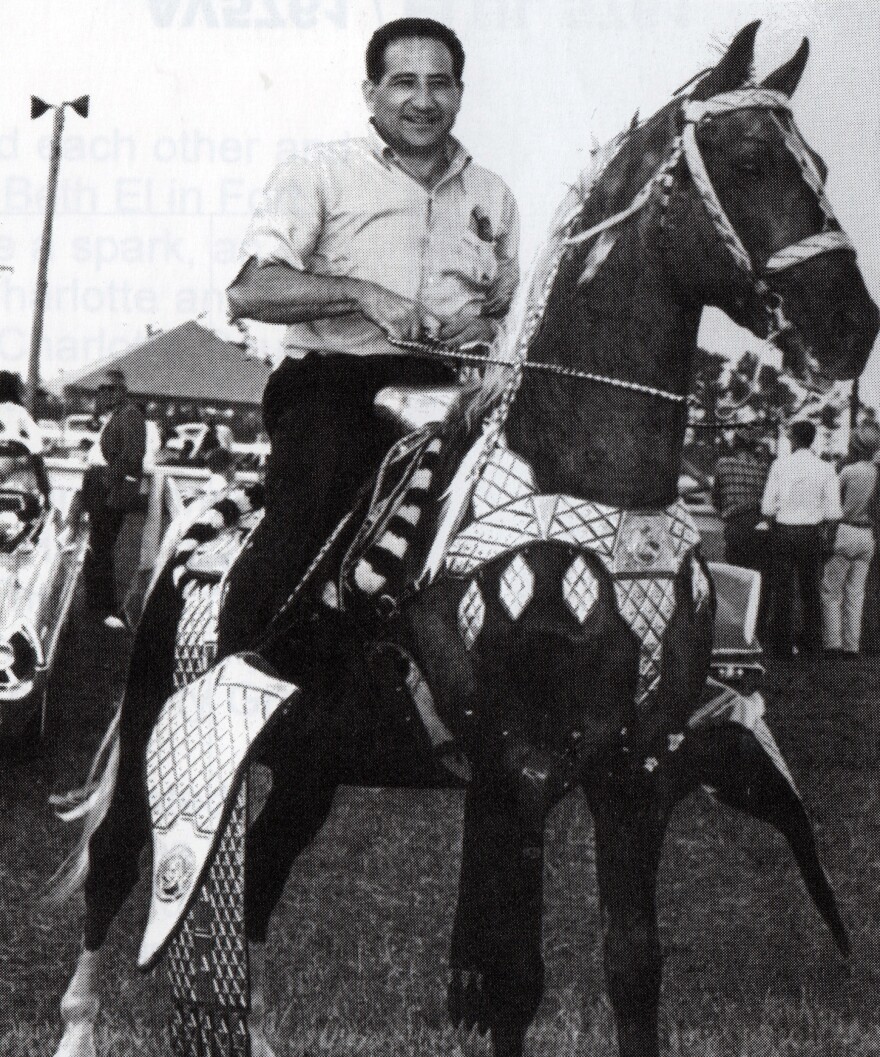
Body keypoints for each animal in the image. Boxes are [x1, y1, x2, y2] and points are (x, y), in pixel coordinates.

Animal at [54, 24, 878, 1057]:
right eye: (752, 159)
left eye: (822, 167)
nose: (851, 327)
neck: (584, 476)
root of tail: (197, 539)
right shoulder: (518, 769)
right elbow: (513, 978)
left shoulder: (635, 771)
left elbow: (630, 968)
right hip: (157, 731)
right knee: (115, 866)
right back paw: (77, 1023)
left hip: (313, 764)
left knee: (261, 881)